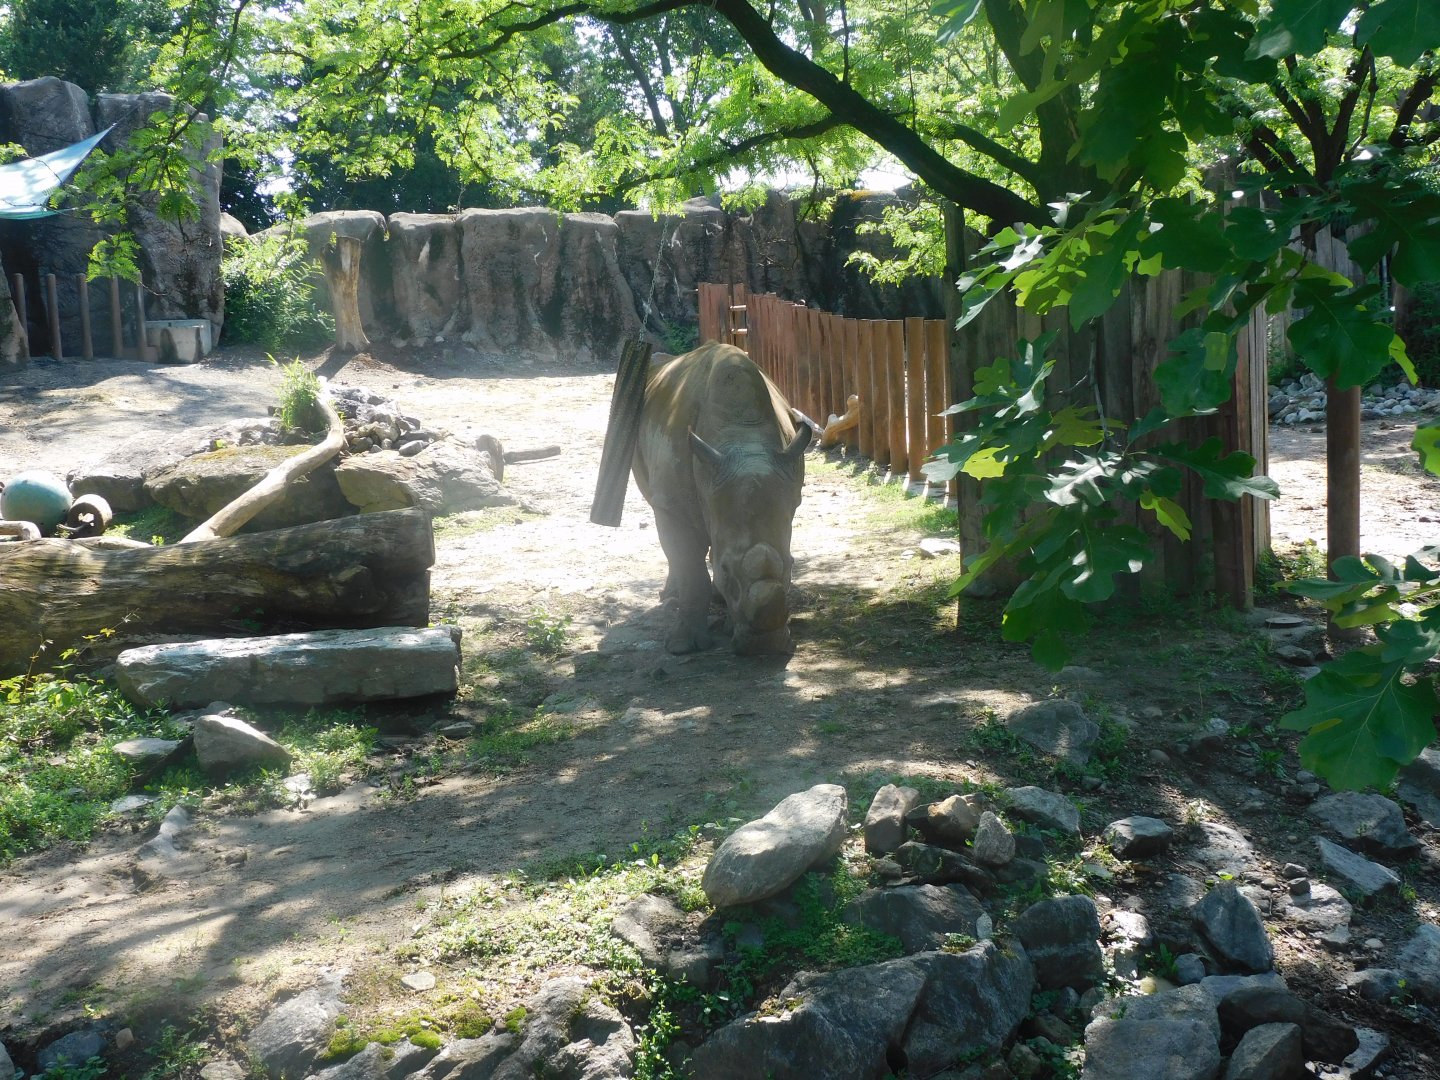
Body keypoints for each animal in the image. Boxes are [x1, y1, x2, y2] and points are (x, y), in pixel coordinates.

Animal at [632, 341, 811, 655]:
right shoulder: (671, 504)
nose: (764, 647)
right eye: (727, 571)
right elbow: (690, 571)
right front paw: (681, 646)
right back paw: (669, 597)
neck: (742, 435)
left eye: (792, 566)